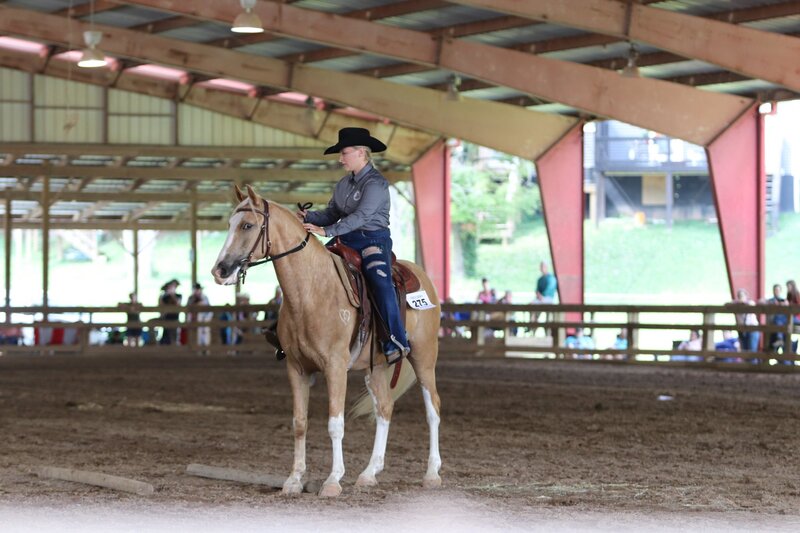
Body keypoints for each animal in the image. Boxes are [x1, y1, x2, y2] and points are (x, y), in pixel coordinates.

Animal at [209, 185, 440, 496]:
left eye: (247, 225)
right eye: (229, 224)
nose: (220, 271)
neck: (312, 290)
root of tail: (422, 276)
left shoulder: (335, 367)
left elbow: (335, 424)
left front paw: (332, 480)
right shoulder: (296, 368)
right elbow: (300, 422)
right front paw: (294, 480)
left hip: (424, 358)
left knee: (433, 409)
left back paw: (432, 474)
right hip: (377, 367)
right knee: (384, 409)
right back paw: (369, 474)